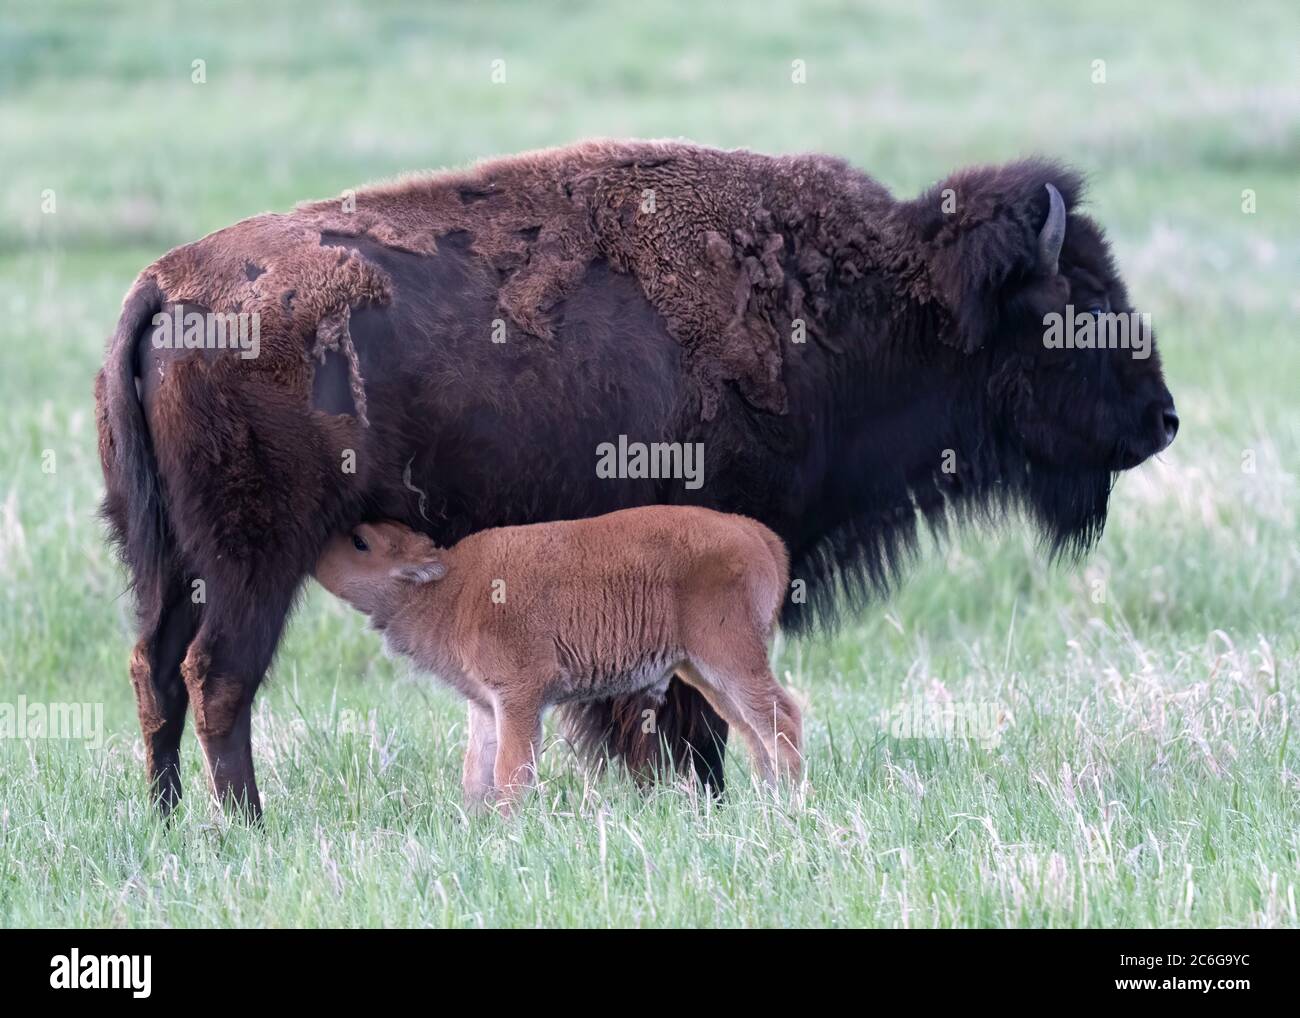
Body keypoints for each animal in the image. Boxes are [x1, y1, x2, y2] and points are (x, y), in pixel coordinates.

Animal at [94, 140, 1177, 818]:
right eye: (1077, 302)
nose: (1160, 417)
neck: (863, 302)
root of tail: (167, 286)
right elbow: (687, 717)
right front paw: (703, 800)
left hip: (169, 564)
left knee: (156, 671)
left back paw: (168, 821)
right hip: (253, 562)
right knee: (219, 677)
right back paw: (247, 825)